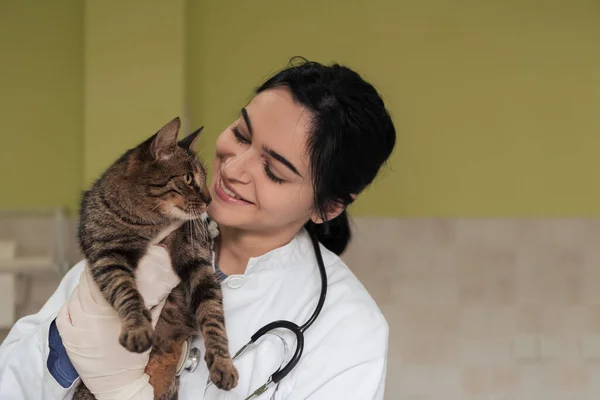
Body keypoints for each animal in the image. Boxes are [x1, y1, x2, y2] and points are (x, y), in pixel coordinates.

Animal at [72, 117, 237, 398]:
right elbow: (127, 292)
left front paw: (223, 362)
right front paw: (137, 327)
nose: (209, 200)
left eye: (205, 178)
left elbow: (213, 312)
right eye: (189, 178)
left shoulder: (198, 261)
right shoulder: (109, 255)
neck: (153, 222)